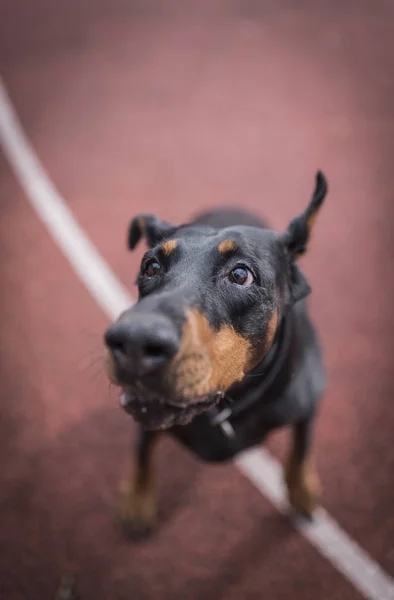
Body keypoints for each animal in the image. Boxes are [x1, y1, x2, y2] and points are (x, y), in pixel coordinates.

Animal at [104, 172, 326, 540]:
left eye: (240, 274)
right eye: (151, 266)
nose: (134, 341)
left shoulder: (307, 398)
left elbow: (302, 444)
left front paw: (302, 489)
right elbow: (142, 450)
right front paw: (137, 499)